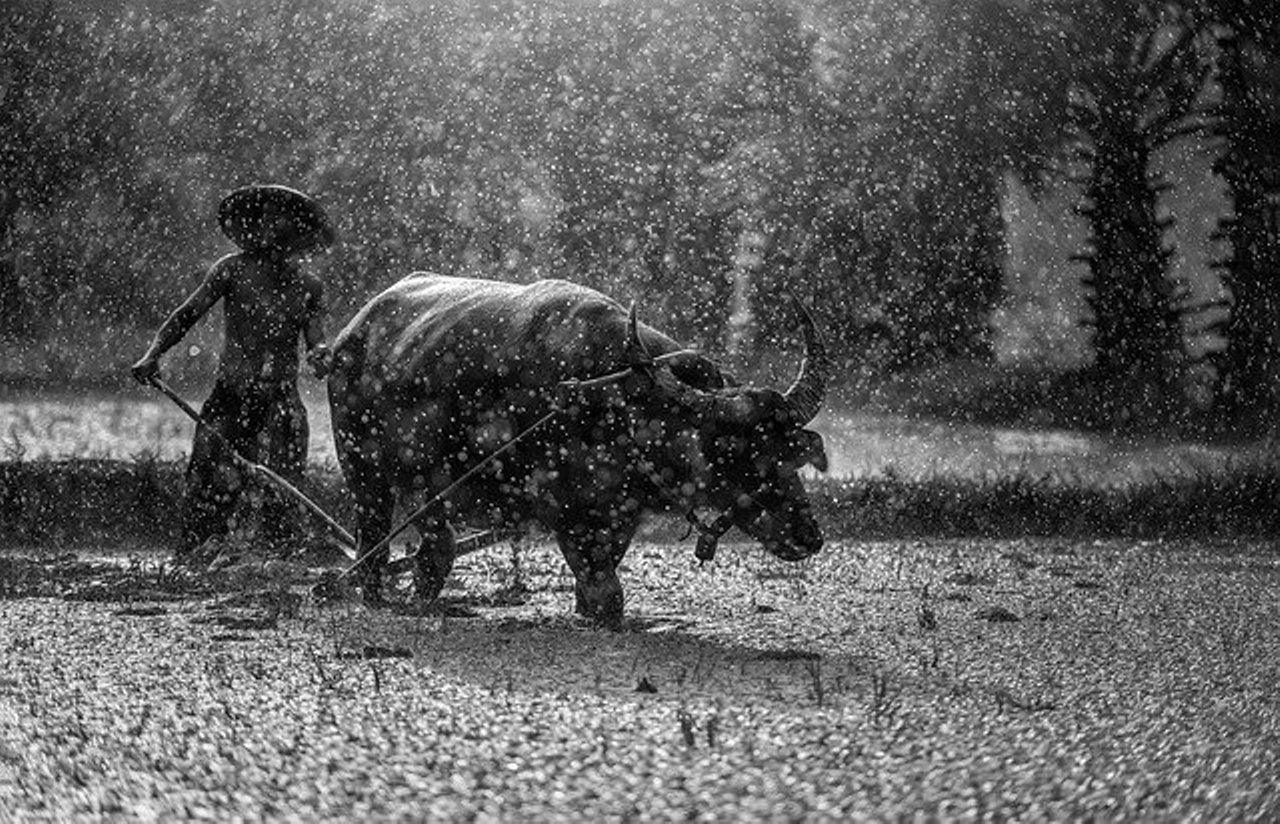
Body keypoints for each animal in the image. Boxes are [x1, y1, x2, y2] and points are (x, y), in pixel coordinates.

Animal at [325, 272, 834, 624]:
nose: (808, 535)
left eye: (789, 453)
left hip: (426, 484)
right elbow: (608, 596)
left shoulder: (620, 515)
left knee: (436, 546)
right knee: (374, 540)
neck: (620, 405)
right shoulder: (567, 514)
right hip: (362, 471)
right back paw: (375, 596)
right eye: (737, 455)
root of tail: (350, 334)